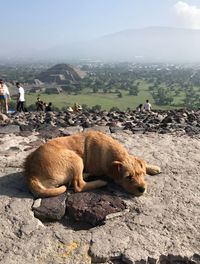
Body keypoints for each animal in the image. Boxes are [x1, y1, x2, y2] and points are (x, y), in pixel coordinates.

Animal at [23, 131, 161, 197]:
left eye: (142, 174)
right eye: (128, 177)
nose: (142, 189)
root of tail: (31, 174)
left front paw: (153, 167)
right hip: (76, 158)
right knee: (79, 185)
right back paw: (99, 182)